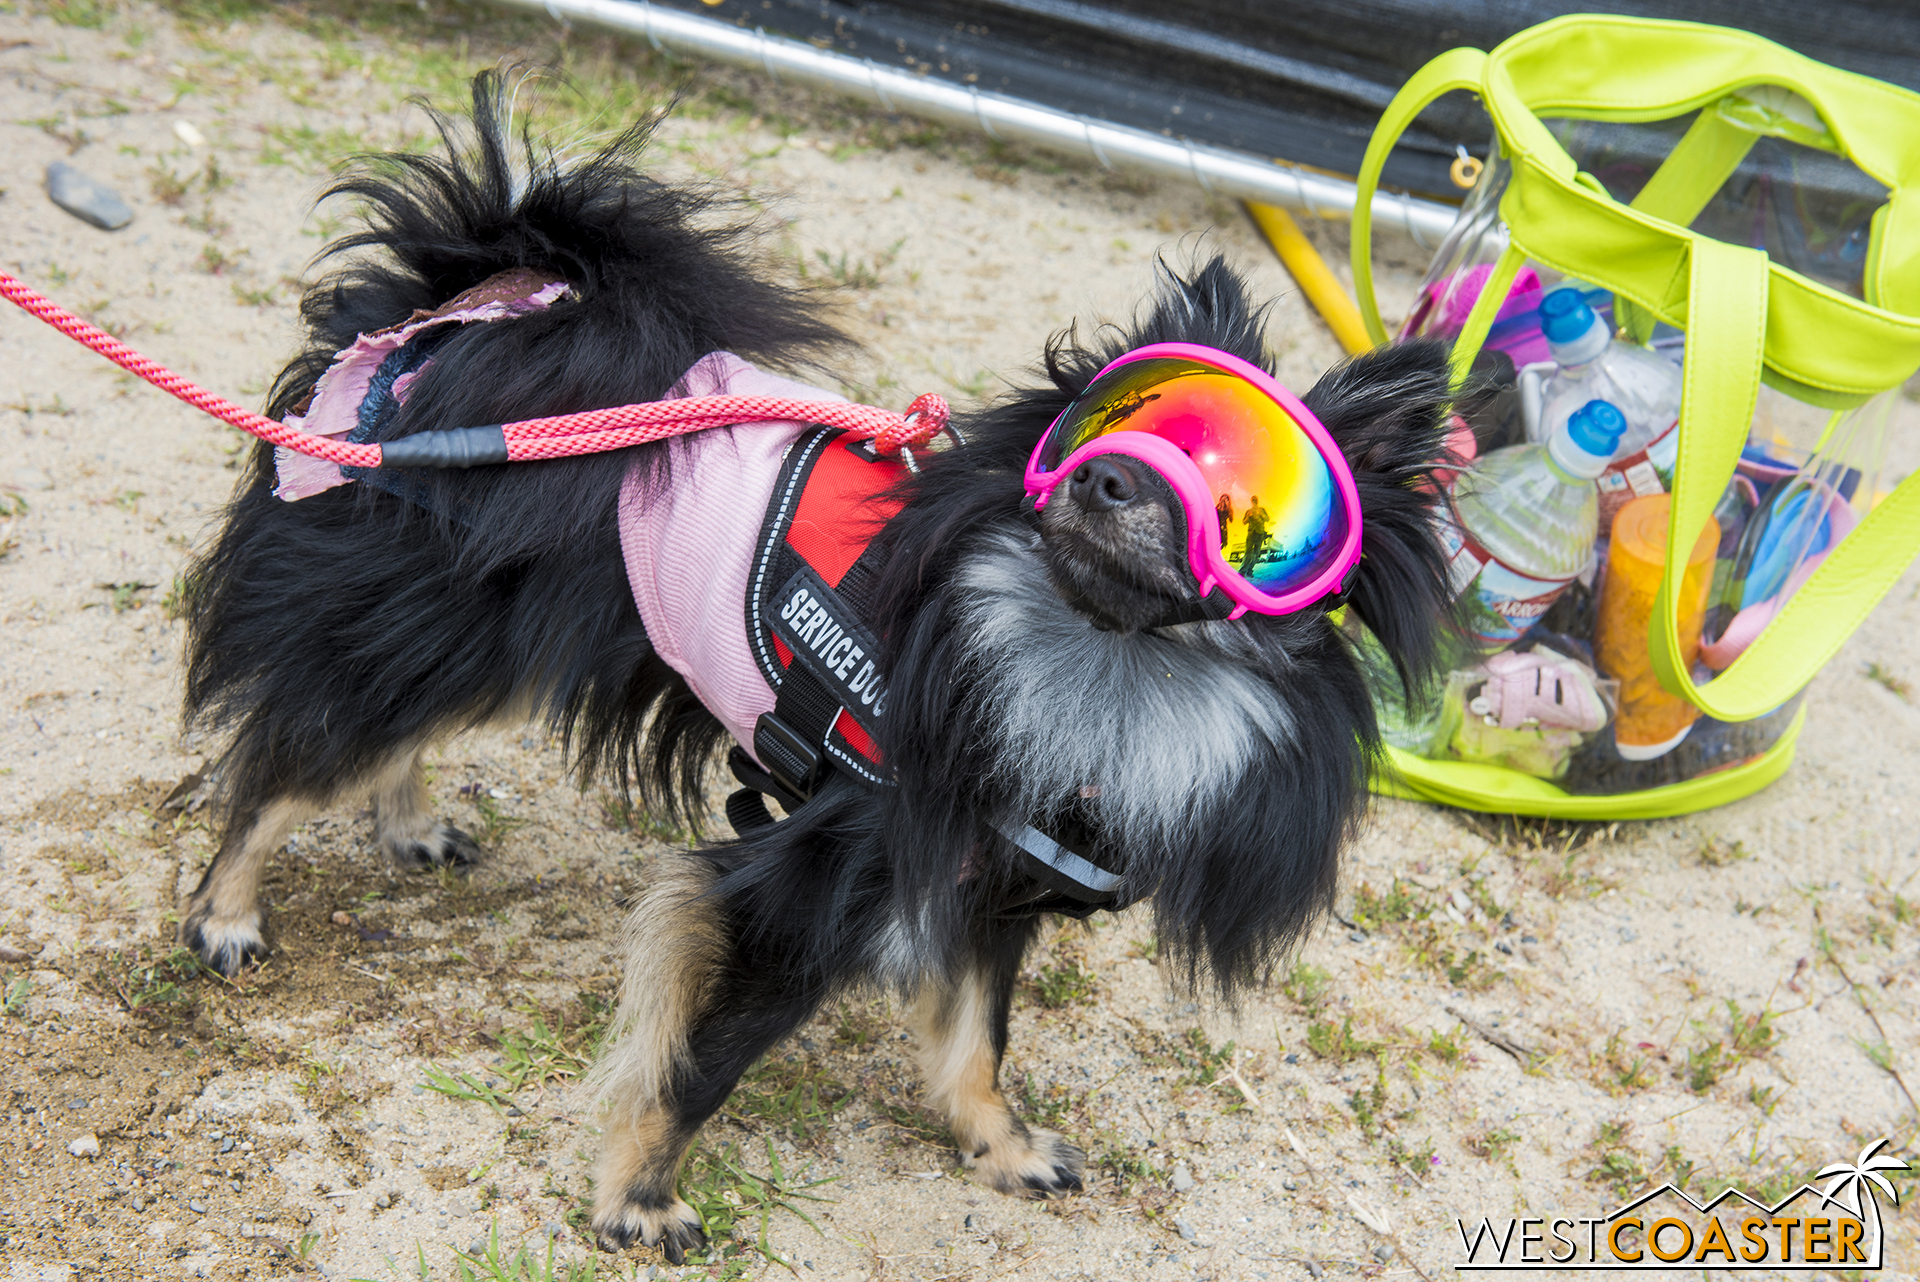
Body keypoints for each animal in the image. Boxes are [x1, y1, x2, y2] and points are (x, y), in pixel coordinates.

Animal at [180, 75, 1451, 1258]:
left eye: (1247, 504)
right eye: (1103, 431)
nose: (1108, 476)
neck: (1090, 660)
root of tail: (468, 305)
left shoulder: (984, 886)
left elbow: (979, 1030)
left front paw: (998, 1144)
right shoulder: (812, 886)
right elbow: (706, 1061)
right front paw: (639, 1198)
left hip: (478, 643)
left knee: (371, 736)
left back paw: (405, 823)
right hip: (438, 625)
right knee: (287, 763)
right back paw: (226, 914)